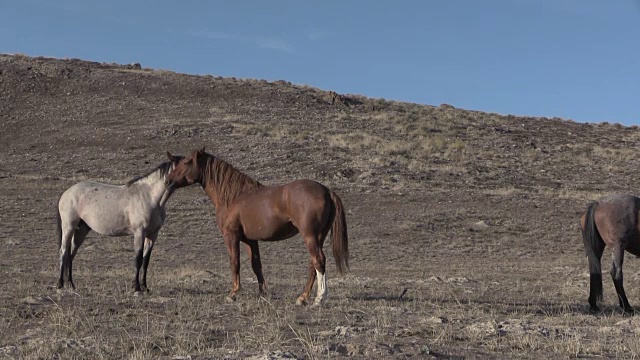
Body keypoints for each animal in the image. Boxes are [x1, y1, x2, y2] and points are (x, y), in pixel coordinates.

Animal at [55, 153, 182, 294]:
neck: (149, 197)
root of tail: (66, 193)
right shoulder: (139, 232)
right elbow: (138, 259)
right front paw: (137, 287)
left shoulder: (153, 234)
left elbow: (146, 260)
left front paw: (145, 287)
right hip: (69, 227)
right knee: (63, 252)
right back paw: (60, 284)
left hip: (81, 230)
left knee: (71, 255)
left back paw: (71, 284)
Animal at [162, 148, 348, 306]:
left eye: (187, 162)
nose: (168, 181)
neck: (233, 197)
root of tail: (326, 191)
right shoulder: (250, 240)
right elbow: (256, 265)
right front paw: (263, 293)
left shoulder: (231, 236)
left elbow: (234, 262)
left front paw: (233, 293)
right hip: (319, 236)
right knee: (313, 264)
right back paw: (302, 298)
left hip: (309, 236)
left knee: (319, 260)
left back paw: (319, 298)